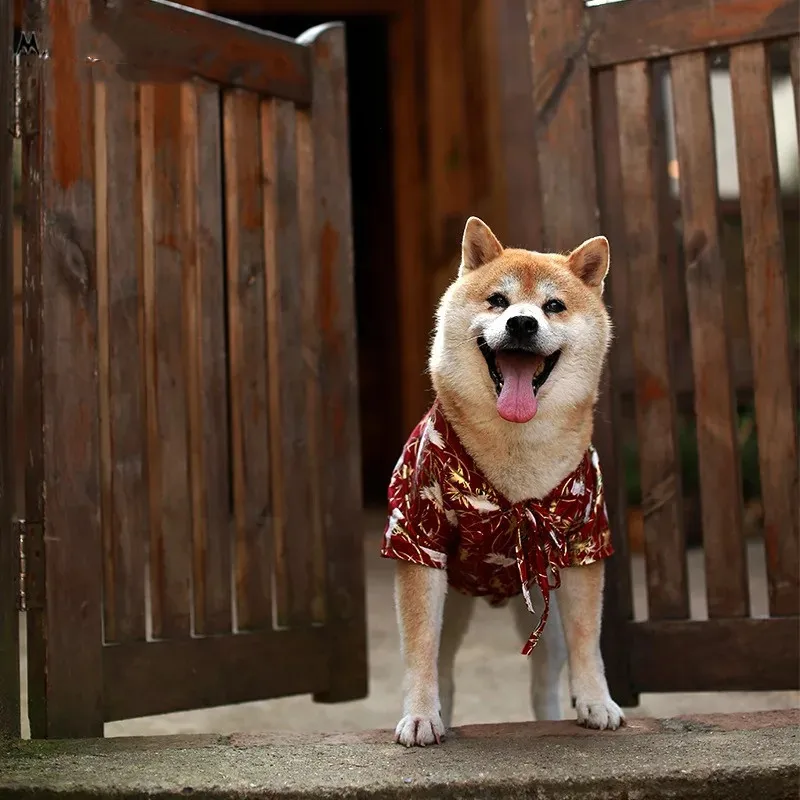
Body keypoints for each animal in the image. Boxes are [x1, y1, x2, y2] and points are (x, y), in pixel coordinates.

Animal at [382, 216, 624, 748]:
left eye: (553, 306)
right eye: (497, 300)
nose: (522, 323)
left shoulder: (584, 541)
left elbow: (588, 638)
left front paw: (597, 701)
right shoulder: (419, 537)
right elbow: (419, 650)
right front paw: (419, 715)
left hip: (540, 606)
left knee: (542, 681)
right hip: (453, 601)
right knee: (442, 666)